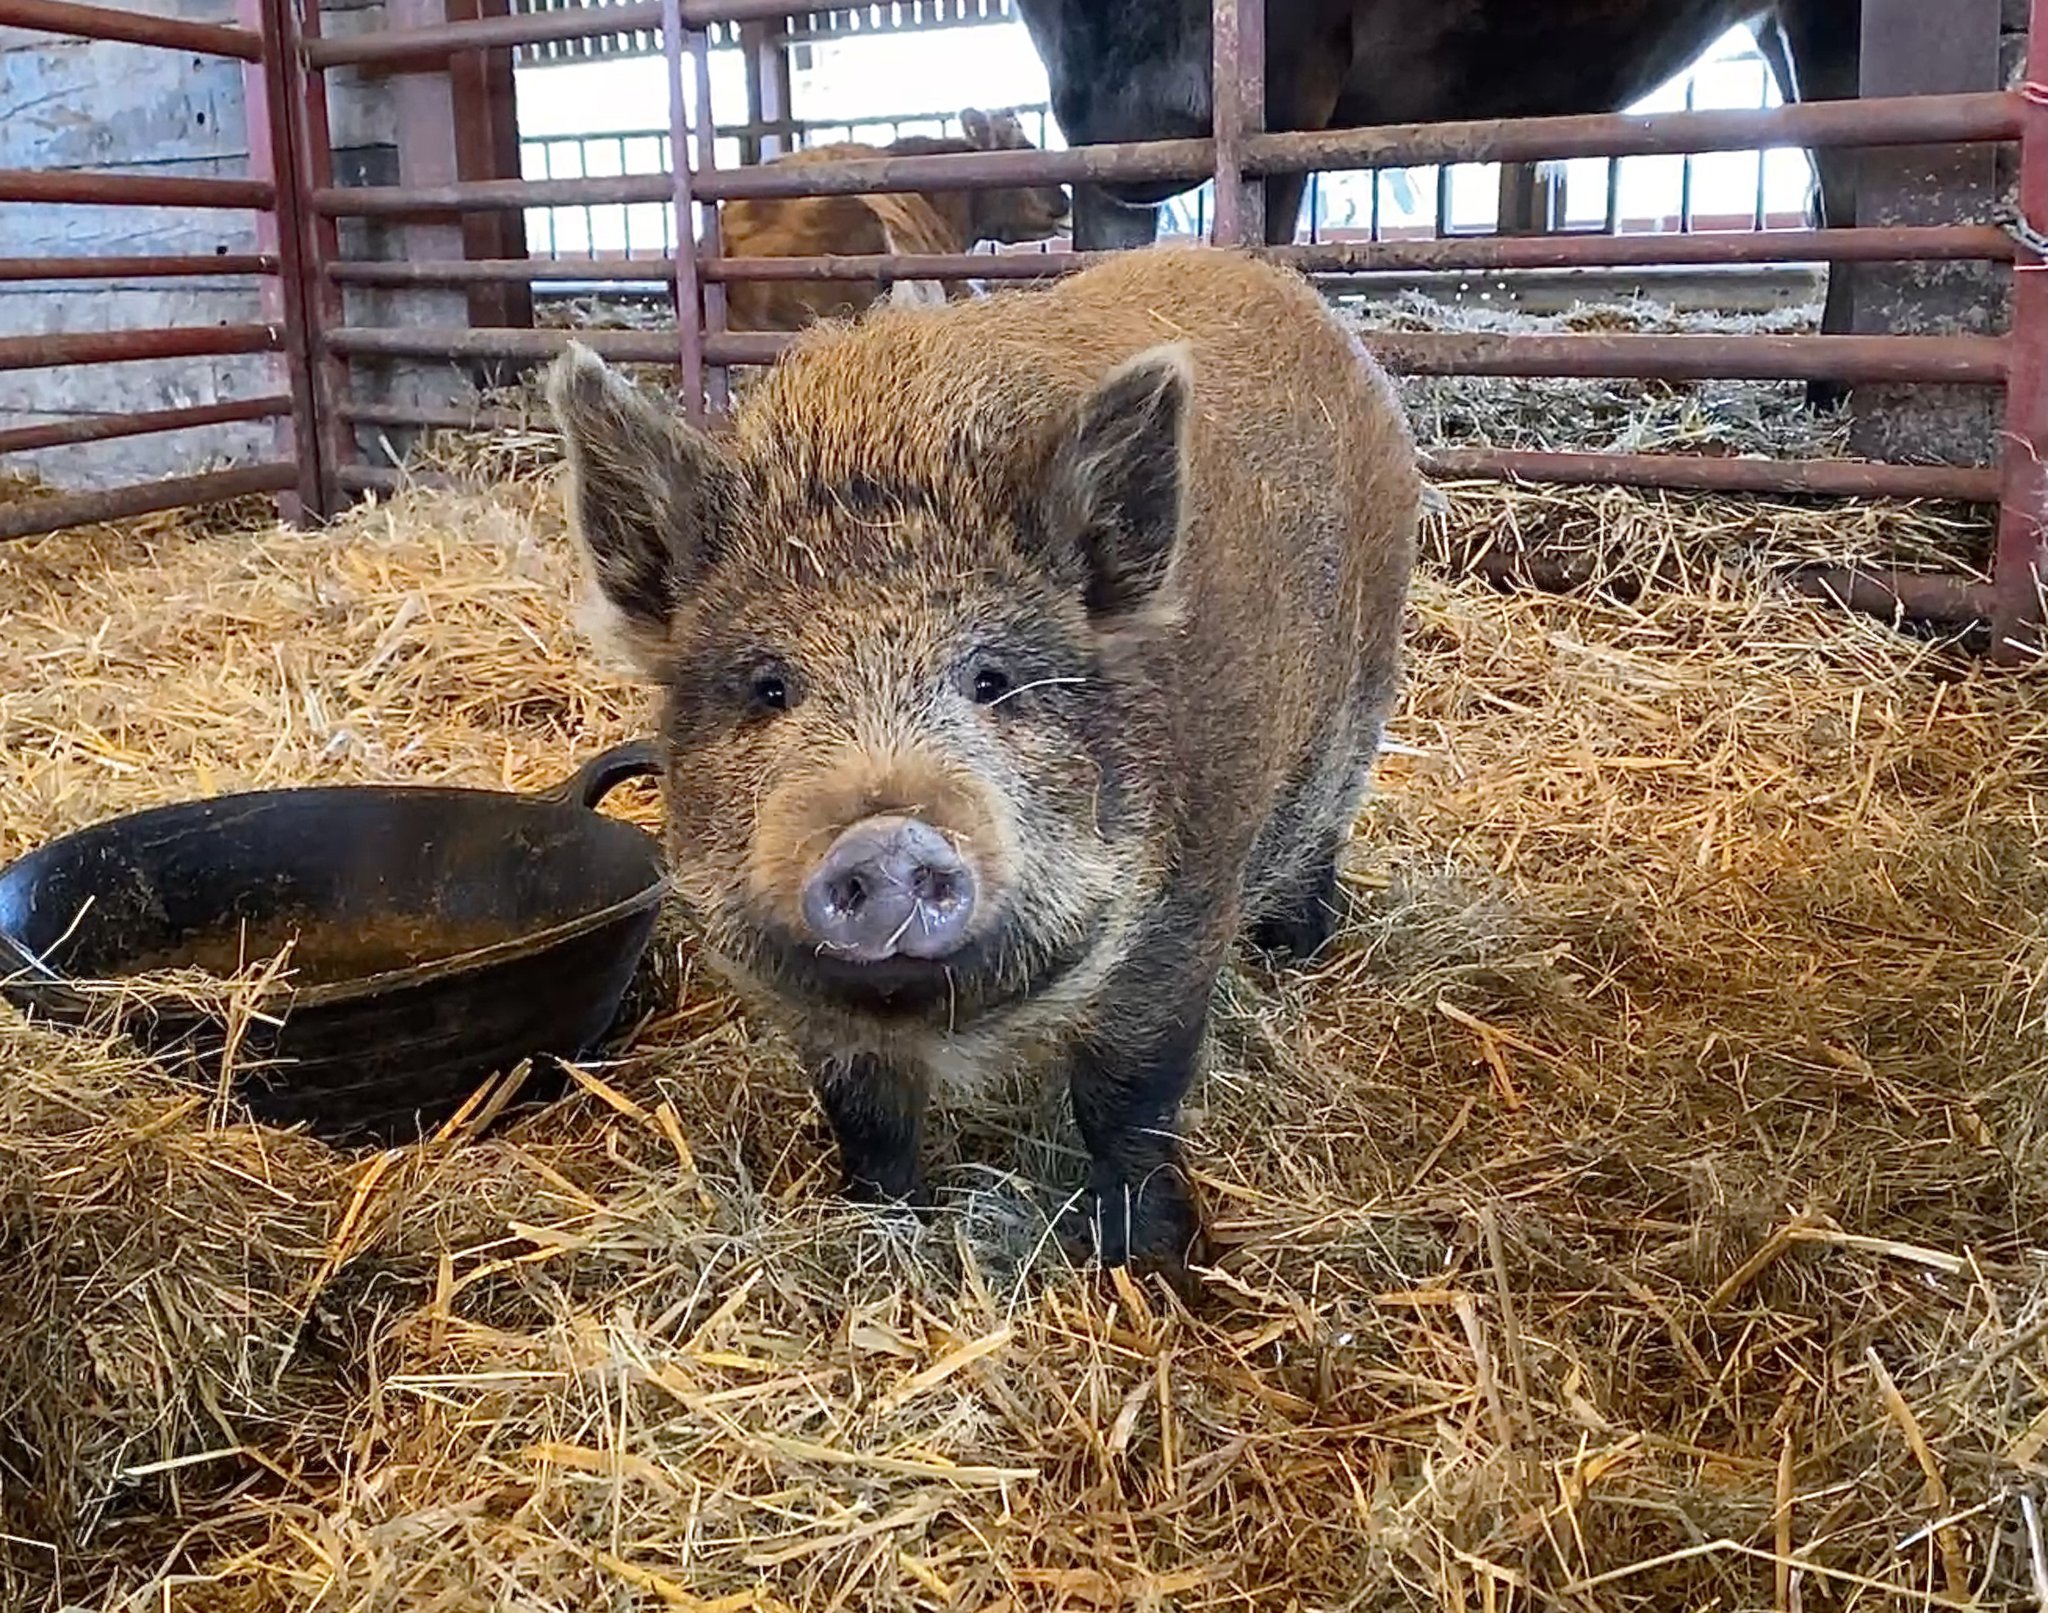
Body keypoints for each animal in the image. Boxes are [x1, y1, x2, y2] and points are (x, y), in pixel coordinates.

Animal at [546, 245, 1419, 1277]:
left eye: (992, 678)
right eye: (769, 686)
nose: (885, 838)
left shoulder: (1188, 899)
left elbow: (1130, 1092)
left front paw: (1145, 1262)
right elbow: (864, 1114)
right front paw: (884, 1229)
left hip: (1361, 693)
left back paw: (1299, 954)